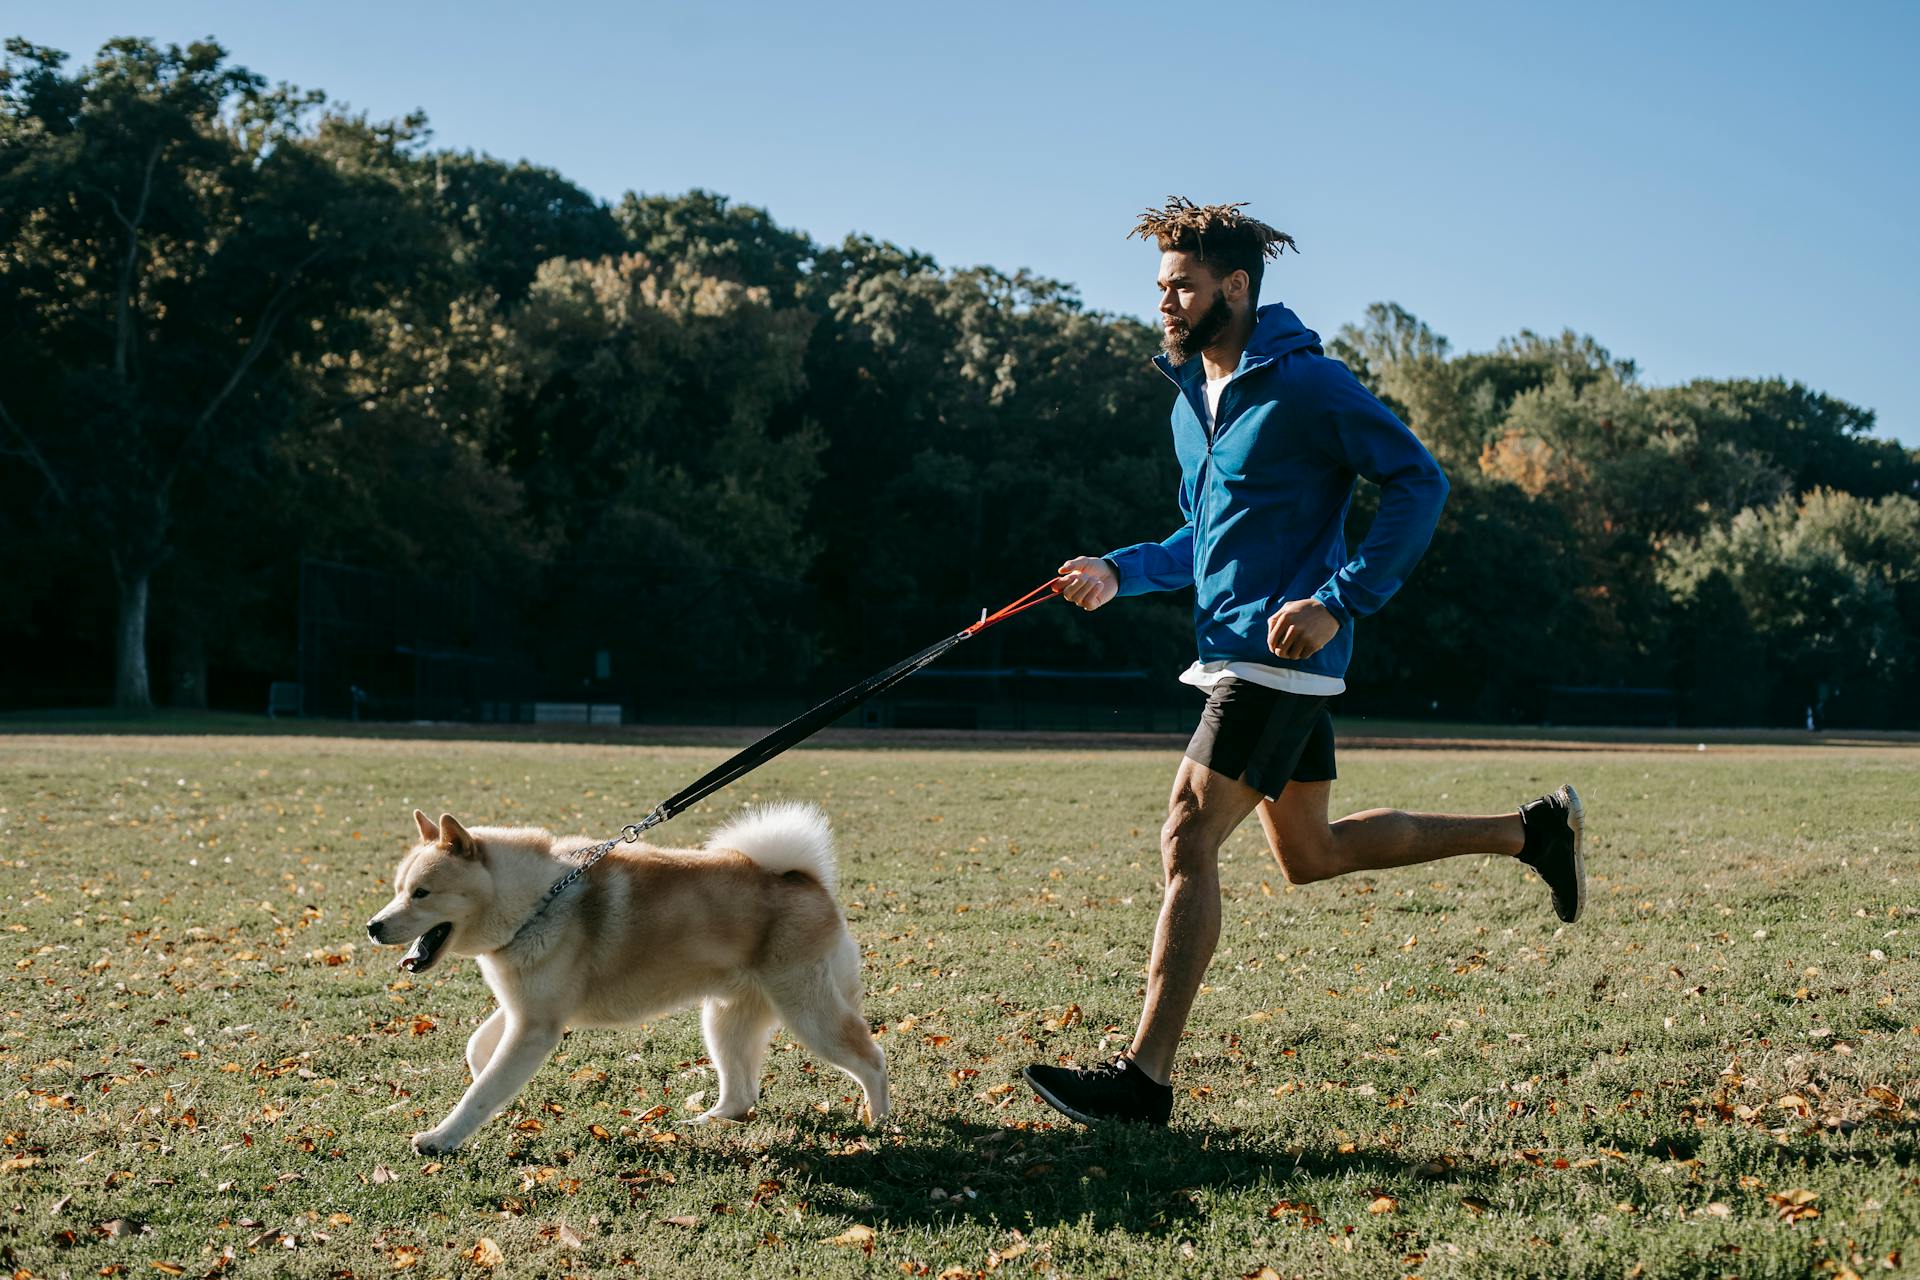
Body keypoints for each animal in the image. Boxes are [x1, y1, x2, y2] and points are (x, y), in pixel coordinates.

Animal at [362, 805, 887, 1159]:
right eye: (398, 890)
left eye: (421, 893)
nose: (373, 926)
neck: (537, 901)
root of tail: (807, 880)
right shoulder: (523, 1012)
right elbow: (479, 1054)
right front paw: (485, 1088)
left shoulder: (536, 1027)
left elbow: (481, 1093)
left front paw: (441, 1138)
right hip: (725, 1020)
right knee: (741, 1097)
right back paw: (703, 1123)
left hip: (808, 1014)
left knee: (872, 1058)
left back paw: (881, 1124)